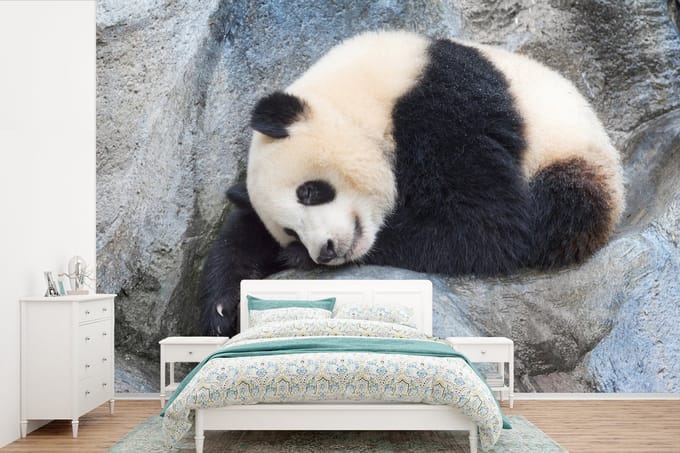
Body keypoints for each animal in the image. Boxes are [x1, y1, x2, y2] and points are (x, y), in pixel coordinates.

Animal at [200, 30, 624, 336]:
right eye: (289, 230)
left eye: (309, 192)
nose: (325, 250)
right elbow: (243, 229)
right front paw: (223, 306)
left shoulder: (445, 107)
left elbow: (484, 222)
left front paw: (295, 260)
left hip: (572, 159)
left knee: (562, 209)